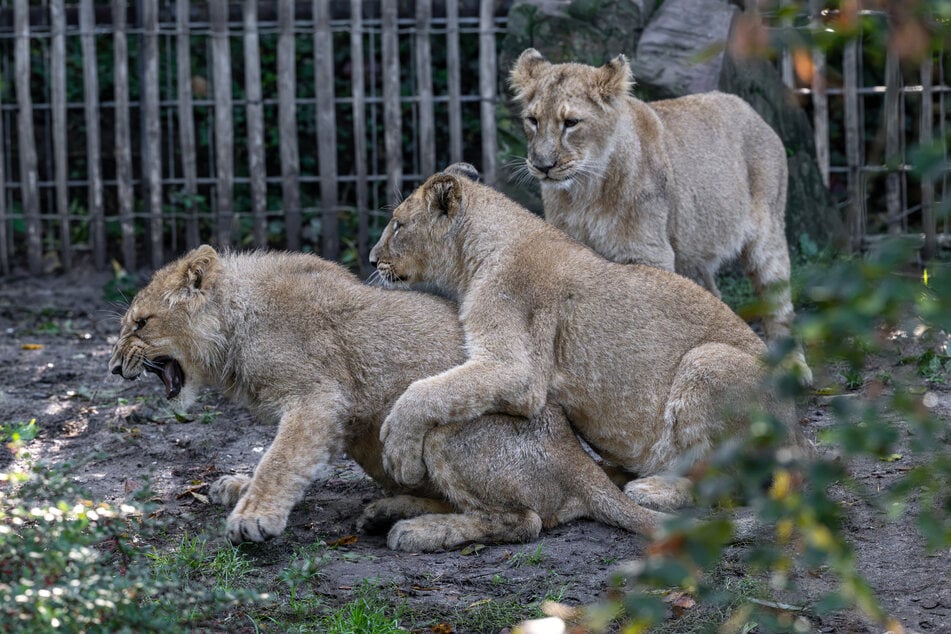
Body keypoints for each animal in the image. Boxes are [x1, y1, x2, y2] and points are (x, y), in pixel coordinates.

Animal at [108, 245, 665, 551]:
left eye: (141, 324)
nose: (114, 367)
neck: (234, 324)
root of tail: (579, 460)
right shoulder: (336, 419)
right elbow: (288, 459)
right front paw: (238, 487)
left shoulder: (317, 397)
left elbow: (282, 458)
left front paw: (253, 516)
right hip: (372, 439)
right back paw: (389, 511)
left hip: (444, 428)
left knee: (524, 522)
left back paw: (418, 532)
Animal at [369, 164, 806, 509]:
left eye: (398, 224)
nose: (372, 259)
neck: (474, 254)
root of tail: (796, 434)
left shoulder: (517, 370)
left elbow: (426, 391)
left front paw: (397, 450)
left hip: (706, 361)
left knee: (730, 483)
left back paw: (653, 490)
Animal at [508, 48, 811, 384]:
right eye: (533, 120)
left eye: (571, 122)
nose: (542, 165)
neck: (585, 192)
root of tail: (750, 110)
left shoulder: (648, 254)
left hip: (767, 236)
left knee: (778, 305)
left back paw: (793, 368)